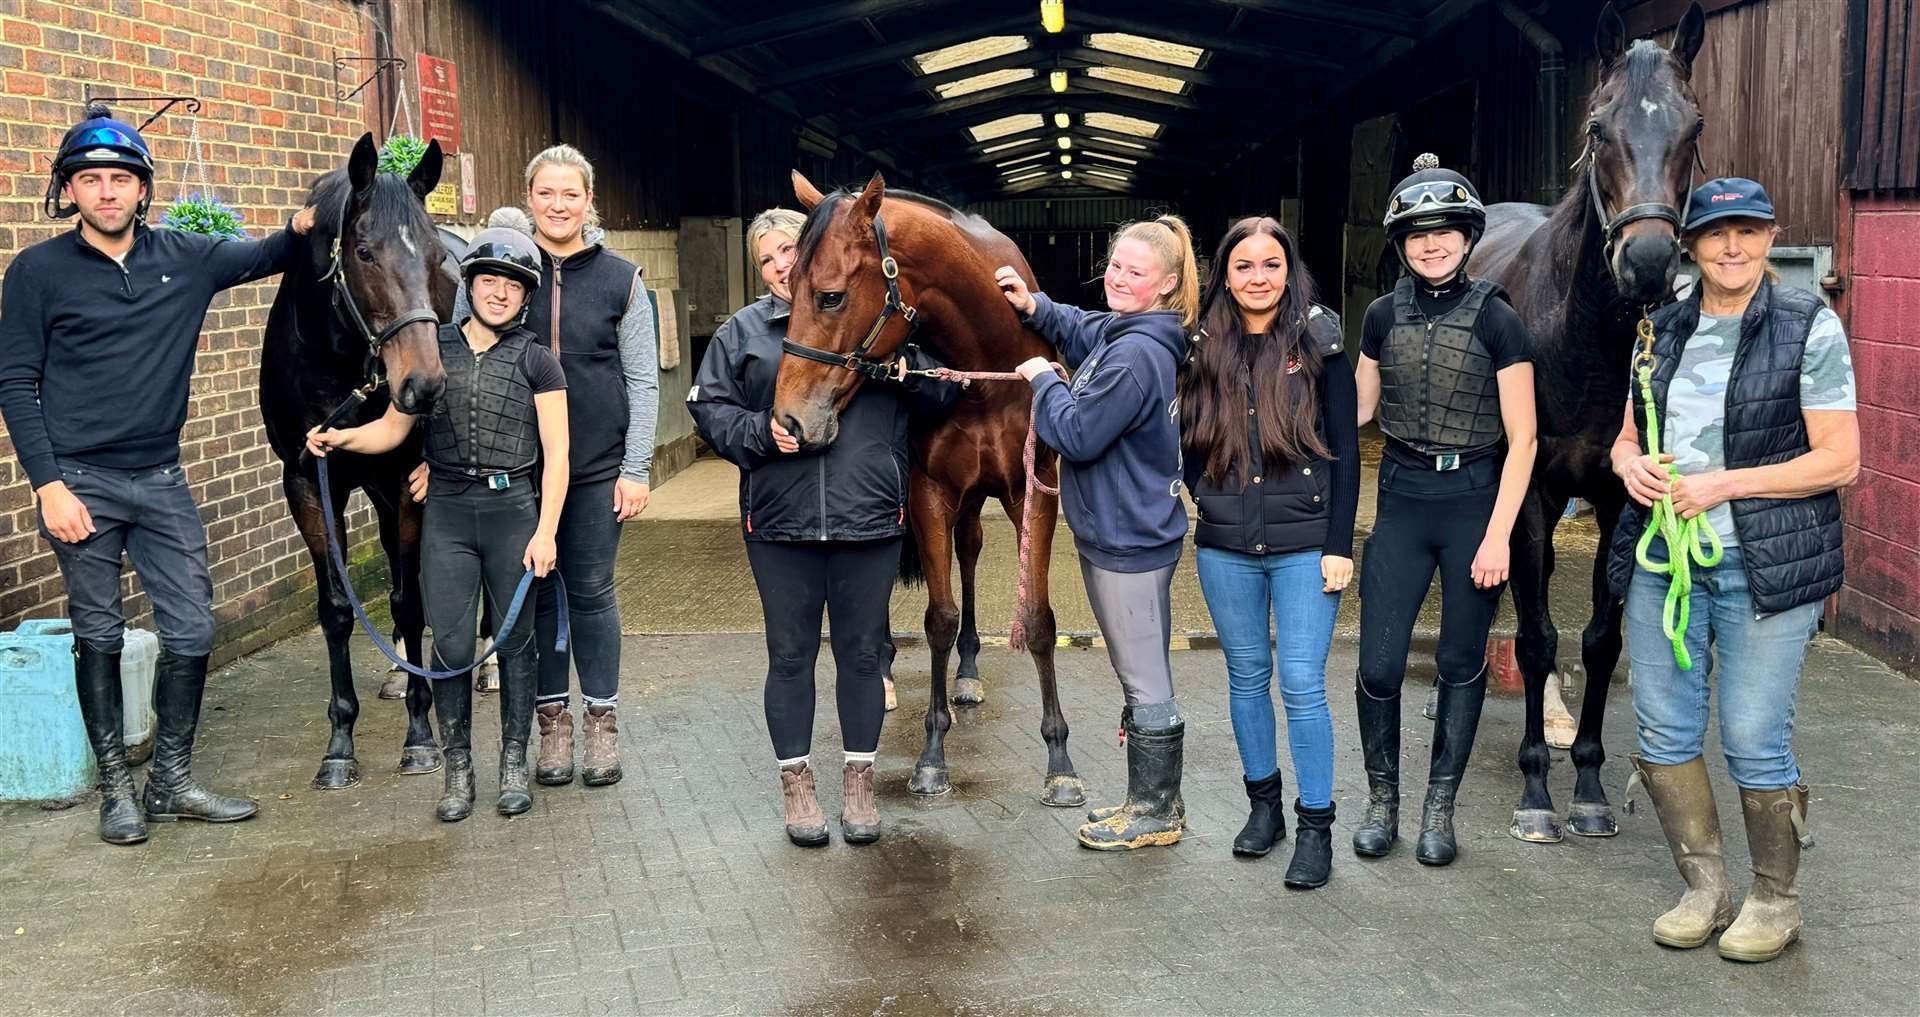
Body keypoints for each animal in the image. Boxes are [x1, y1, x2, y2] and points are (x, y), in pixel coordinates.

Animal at [261, 130, 458, 786]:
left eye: (434, 257)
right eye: (365, 252)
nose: (423, 385)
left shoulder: (405, 480)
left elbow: (408, 599)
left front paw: (421, 736)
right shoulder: (307, 482)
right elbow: (337, 609)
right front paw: (339, 744)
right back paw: (401, 672)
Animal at [771, 174, 1090, 805]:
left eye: (830, 297)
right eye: (787, 286)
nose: (790, 420)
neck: (988, 369)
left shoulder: (1033, 491)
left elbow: (1038, 620)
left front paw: (1060, 761)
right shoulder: (927, 493)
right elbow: (938, 617)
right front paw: (933, 755)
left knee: (969, 552)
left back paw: (967, 672)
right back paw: (886, 671)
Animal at [1466, 1, 1712, 840]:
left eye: (1693, 126)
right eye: (1599, 128)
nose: (1648, 262)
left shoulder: (1624, 499)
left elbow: (1601, 640)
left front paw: (1590, 784)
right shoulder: (1534, 492)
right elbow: (1539, 636)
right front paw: (1537, 792)